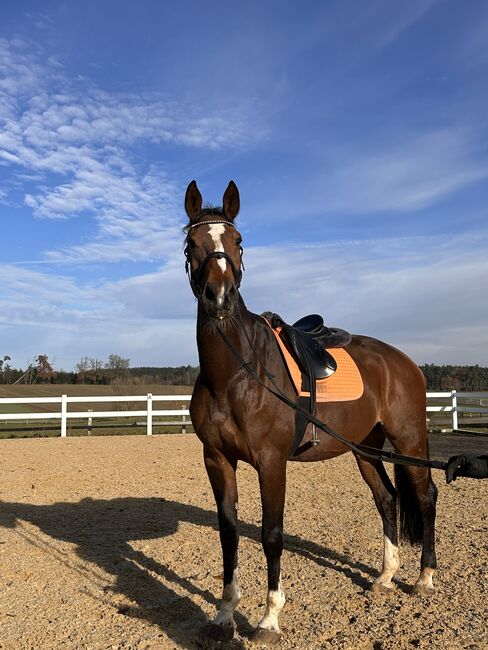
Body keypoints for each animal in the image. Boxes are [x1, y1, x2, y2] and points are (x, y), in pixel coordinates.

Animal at [183, 178, 438, 644]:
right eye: (191, 243)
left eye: (239, 241)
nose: (220, 297)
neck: (236, 372)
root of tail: (404, 362)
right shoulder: (217, 459)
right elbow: (229, 534)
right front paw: (225, 613)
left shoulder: (271, 462)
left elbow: (271, 535)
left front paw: (268, 620)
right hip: (365, 448)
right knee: (387, 499)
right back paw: (384, 577)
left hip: (409, 440)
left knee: (425, 497)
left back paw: (424, 578)